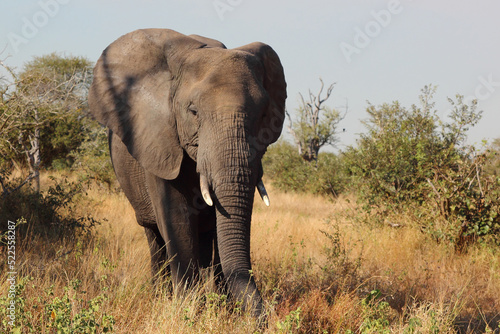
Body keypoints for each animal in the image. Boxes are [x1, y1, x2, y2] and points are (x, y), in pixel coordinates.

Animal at [88, 28, 288, 316]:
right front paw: (189, 311)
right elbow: (176, 218)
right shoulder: (159, 141)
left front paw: (222, 310)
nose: (266, 317)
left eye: (263, 114)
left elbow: (220, 225)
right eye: (193, 111)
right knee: (154, 237)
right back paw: (160, 294)